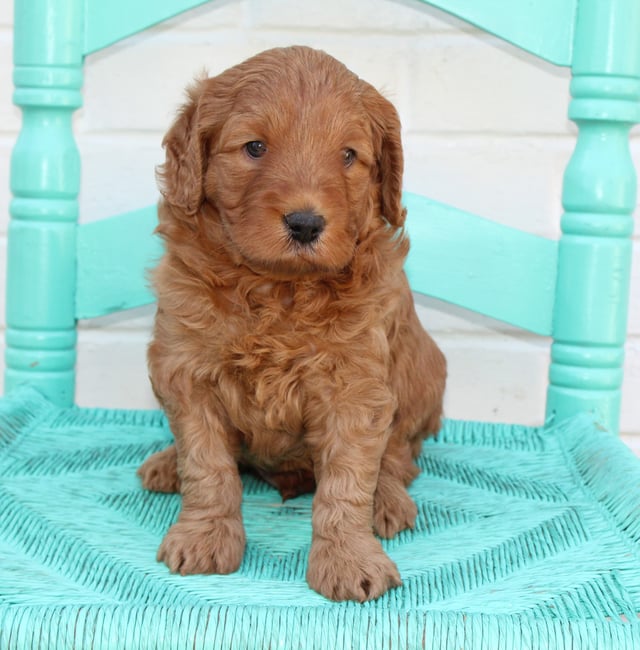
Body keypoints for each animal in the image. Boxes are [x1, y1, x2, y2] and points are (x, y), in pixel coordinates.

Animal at [140, 46, 448, 604]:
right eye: (255, 147)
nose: (305, 223)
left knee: (399, 455)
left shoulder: (356, 387)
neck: (277, 289)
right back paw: (166, 463)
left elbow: (348, 480)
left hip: (423, 374)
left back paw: (388, 499)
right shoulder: (186, 369)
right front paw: (204, 535)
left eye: (347, 155)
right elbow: (207, 465)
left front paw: (349, 558)